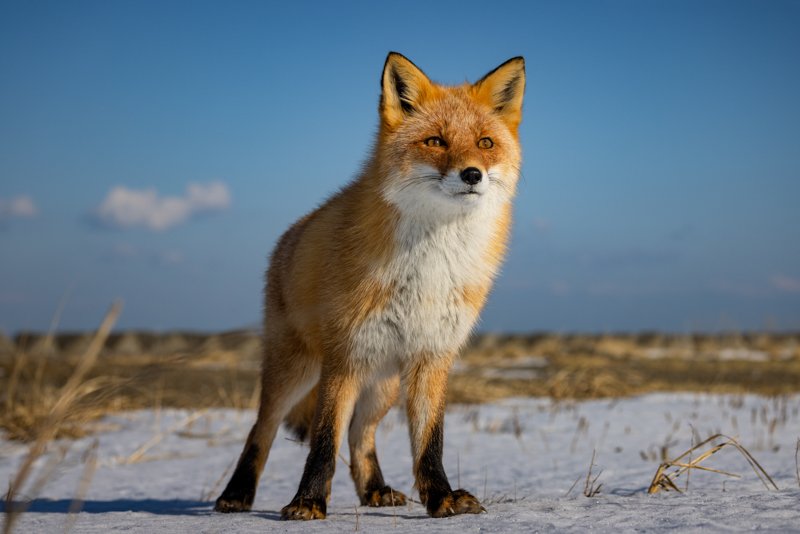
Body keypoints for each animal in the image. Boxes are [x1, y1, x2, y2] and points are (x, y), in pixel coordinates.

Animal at [214, 52, 525, 520]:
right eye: (436, 141)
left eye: (486, 143)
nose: (473, 174)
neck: (428, 268)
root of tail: (285, 239)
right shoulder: (344, 356)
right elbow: (323, 441)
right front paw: (307, 502)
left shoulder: (433, 356)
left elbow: (429, 441)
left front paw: (441, 498)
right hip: (298, 371)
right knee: (261, 429)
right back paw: (236, 494)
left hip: (383, 384)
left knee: (362, 434)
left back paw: (374, 490)